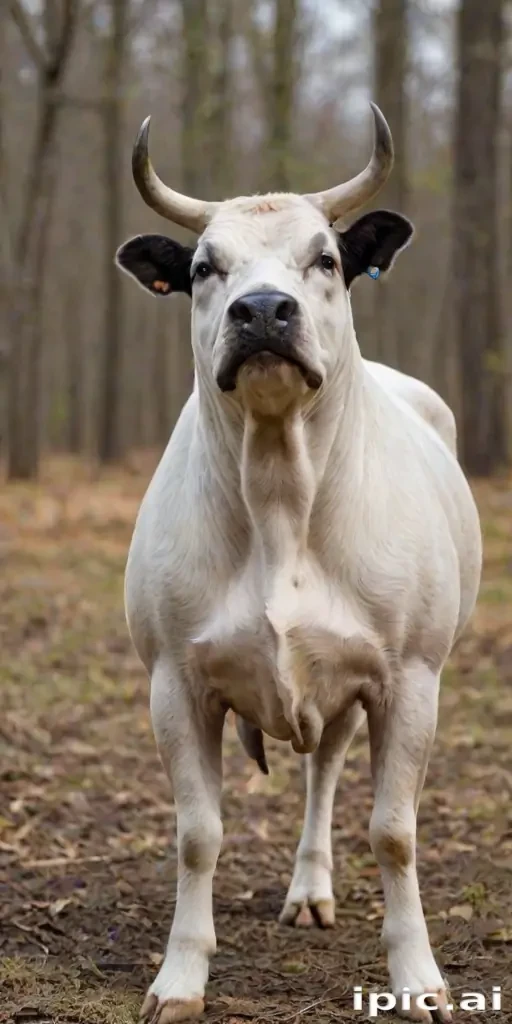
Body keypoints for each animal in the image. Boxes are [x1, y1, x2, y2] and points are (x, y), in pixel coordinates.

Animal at [116, 104, 482, 1024]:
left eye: (325, 258)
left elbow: (394, 831)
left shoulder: (408, 675)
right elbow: (198, 833)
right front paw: (181, 976)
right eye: (204, 266)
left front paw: (417, 975)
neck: (280, 490)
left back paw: (313, 889)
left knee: (325, 771)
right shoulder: (174, 679)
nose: (263, 311)